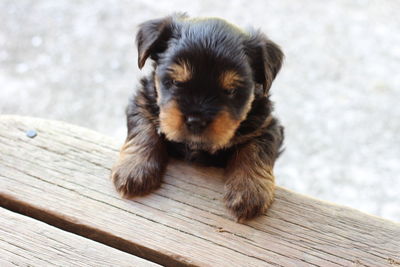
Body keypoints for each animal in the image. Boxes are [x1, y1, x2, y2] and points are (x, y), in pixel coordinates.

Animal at [111, 14, 284, 222]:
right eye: (176, 82)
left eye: (230, 91)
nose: (196, 121)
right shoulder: (142, 102)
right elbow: (143, 129)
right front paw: (134, 169)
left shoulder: (267, 124)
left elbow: (256, 148)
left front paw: (249, 190)